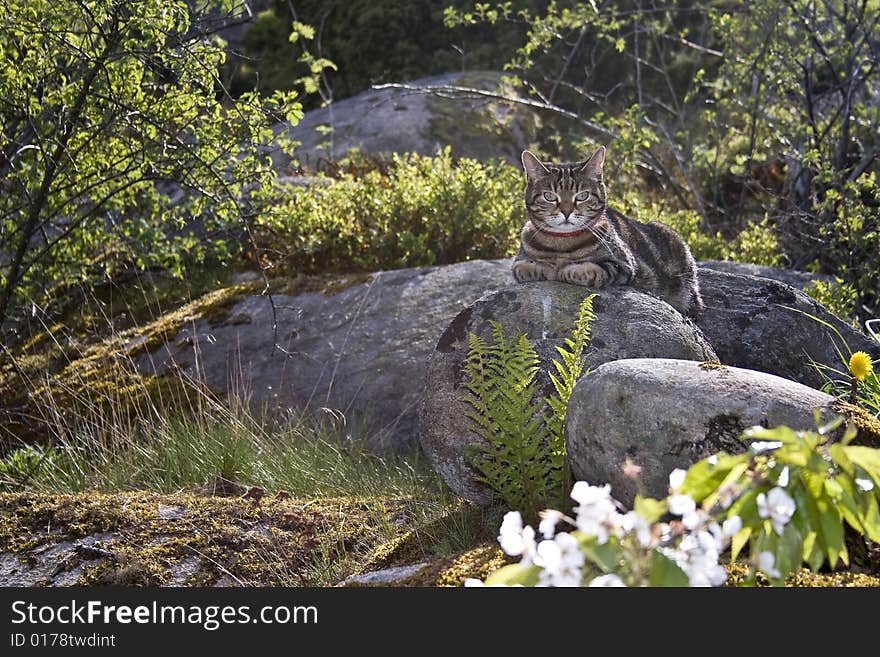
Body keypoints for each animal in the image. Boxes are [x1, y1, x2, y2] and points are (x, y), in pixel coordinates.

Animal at [512, 146, 704, 316]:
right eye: (549, 196)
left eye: (583, 196)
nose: (566, 212)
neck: (561, 244)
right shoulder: (519, 260)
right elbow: (521, 268)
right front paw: (541, 267)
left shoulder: (624, 265)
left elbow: (593, 270)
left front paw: (567, 270)